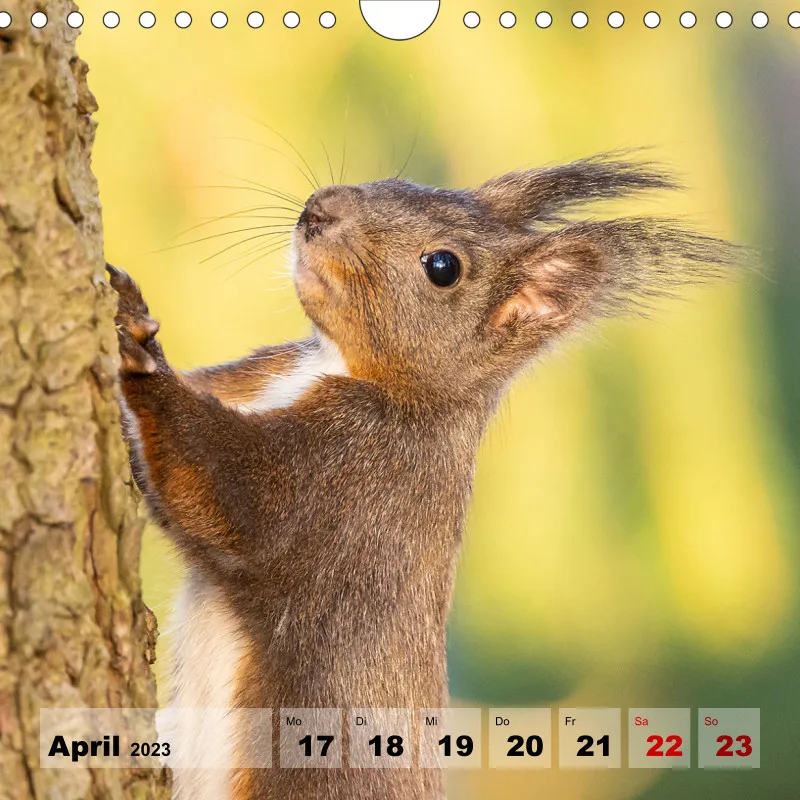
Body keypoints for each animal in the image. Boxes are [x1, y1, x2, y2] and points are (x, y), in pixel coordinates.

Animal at [109, 154, 738, 800]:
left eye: (443, 268)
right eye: (397, 181)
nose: (319, 208)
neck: (342, 366)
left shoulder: (352, 474)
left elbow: (224, 489)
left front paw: (142, 353)